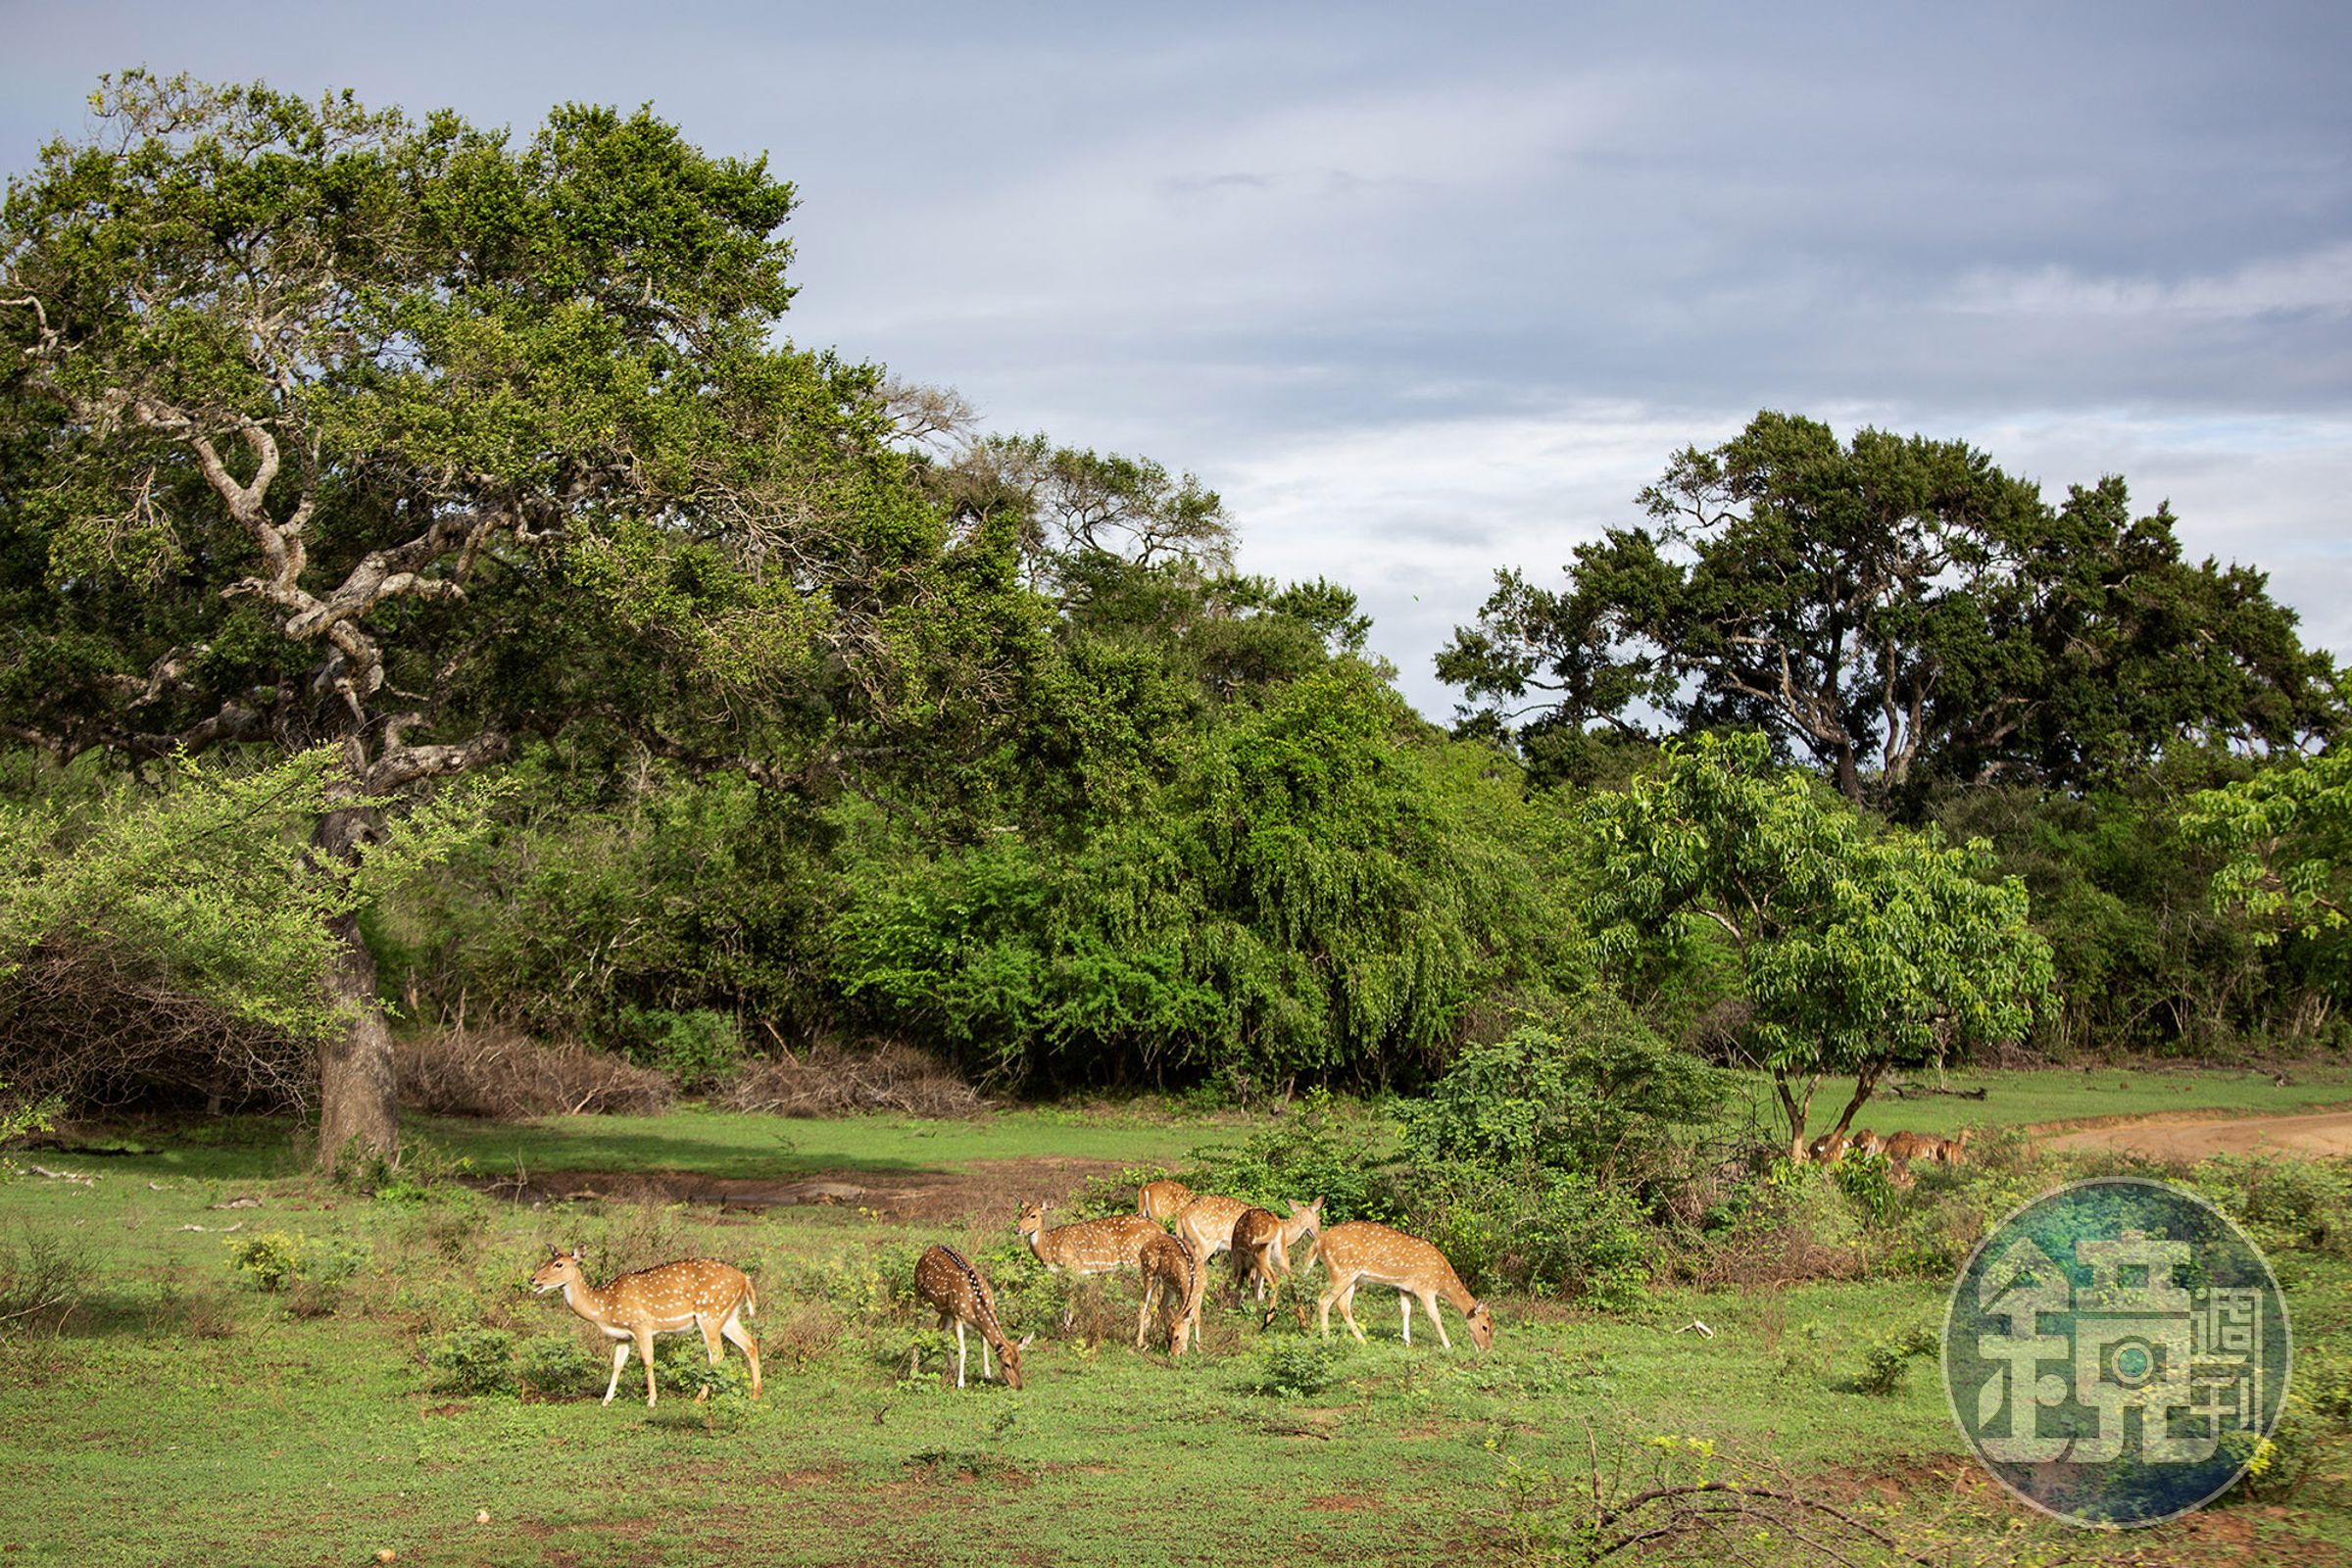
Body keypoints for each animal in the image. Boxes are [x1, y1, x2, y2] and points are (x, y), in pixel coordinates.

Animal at [529, 1246, 761, 1408]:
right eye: (548, 1260)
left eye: (559, 1264)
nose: (533, 1279)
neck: (604, 1308)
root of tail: (746, 1279)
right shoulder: (622, 1336)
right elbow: (617, 1364)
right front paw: (606, 1400)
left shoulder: (641, 1325)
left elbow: (648, 1360)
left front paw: (651, 1400)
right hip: (728, 1316)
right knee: (750, 1342)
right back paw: (755, 1394)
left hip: (710, 1313)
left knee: (717, 1355)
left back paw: (699, 1398)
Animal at [911, 1244, 1028, 1389]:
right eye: (1006, 1364)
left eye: (1020, 1362)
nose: (1019, 1386)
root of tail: (929, 1249)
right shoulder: (958, 1316)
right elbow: (962, 1350)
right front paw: (961, 1383)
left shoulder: (959, 1315)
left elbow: (984, 1344)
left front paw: (987, 1374)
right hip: (920, 1294)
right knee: (917, 1329)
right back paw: (913, 1368)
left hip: (946, 1310)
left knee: (941, 1332)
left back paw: (952, 1369)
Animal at [1229, 1197, 1325, 1328]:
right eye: (1319, 1219)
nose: (1320, 1235)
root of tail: (1275, 1226)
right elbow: (1255, 1285)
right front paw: (1252, 1311)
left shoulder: (1241, 1258)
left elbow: (1245, 1284)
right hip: (1277, 1255)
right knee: (1290, 1280)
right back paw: (1302, 1323)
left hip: (1259, 1254)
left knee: (1275, 1280)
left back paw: (1268, 1318)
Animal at [1308, 1222, 1493, 1352]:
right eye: (1484, 1327)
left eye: (1492, 1327)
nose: (1487, 1349)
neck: (1442, 1280)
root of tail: (1318, 1241)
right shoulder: (1425, 1288)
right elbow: (1435, 1317)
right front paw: (1448, 1346)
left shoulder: (1405, 1287)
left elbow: (1406, 1311)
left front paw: (1407, 1343)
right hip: (1341, 1271)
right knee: (1324, 1300)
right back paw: (1327, 1341)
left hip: (1352, 1278)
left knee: (1343, 1304)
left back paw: (1362, 1340)